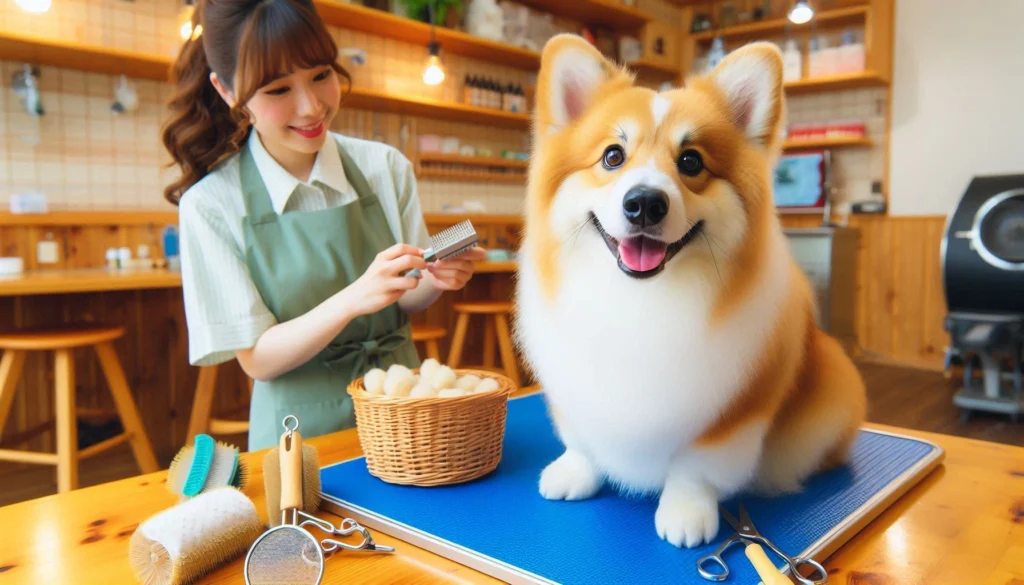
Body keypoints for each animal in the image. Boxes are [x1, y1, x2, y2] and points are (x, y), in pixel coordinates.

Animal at [512, 35, 864, 549]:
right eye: (612, 156)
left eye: (691, 161)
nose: (644, 203)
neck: (638, 300)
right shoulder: (575, 390)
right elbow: (582, 439)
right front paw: (576, 471)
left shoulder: (731, 413)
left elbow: (694, 468)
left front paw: (685, 510)